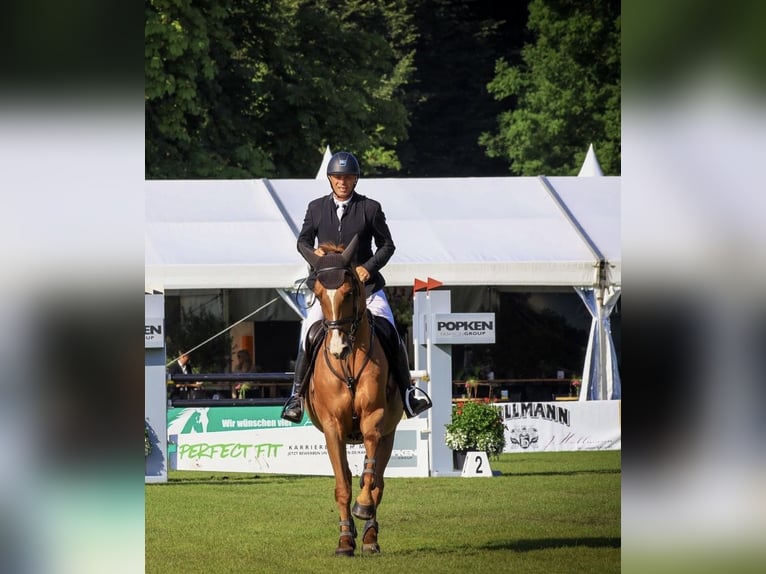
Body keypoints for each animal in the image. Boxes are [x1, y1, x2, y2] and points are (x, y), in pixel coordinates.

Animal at [300, 235, 408, 560]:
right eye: (318, 294)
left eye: (349, 292)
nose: (338, 349)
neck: (348, 364)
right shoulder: (333, 427)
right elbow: (342, 485)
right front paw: (345, 540)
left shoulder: (374, 418)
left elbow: (368, 477)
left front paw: (363, 508)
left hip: (390, 432)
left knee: (378, 482)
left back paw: (371, 537)